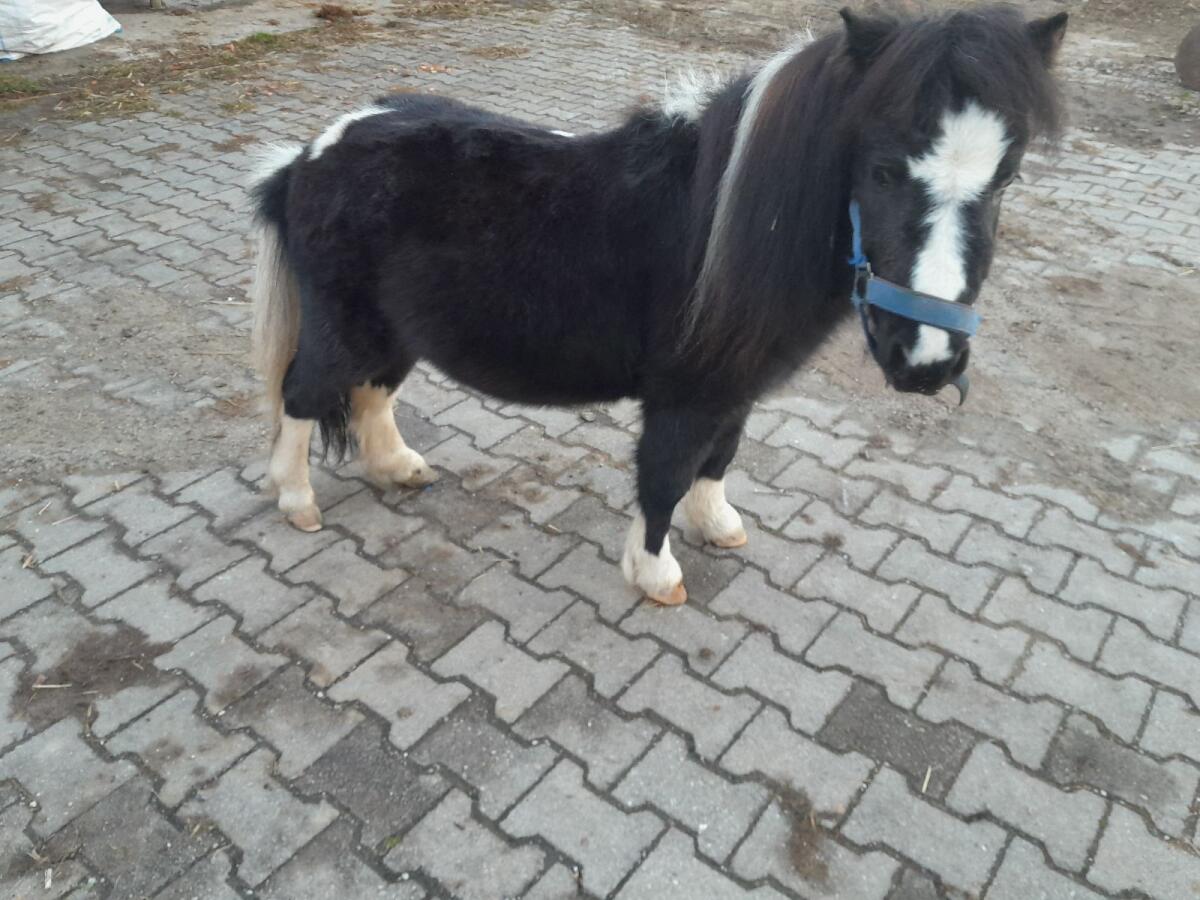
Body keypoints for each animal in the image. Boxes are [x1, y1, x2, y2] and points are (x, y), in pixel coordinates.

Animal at [248, 5, 1067, 606]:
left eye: (1006, 178)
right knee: (304, 394)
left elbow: (719, 459)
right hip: (344, 325)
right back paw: (296, 501)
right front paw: (656, 574)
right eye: (885, 169)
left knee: (371, 393)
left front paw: (718, 525)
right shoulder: (684, 392)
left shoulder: (734, 387)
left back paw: (398, 469)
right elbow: (666, 473)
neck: (726, 231)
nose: (928, 361)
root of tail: (310, 154)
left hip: (394, 329)